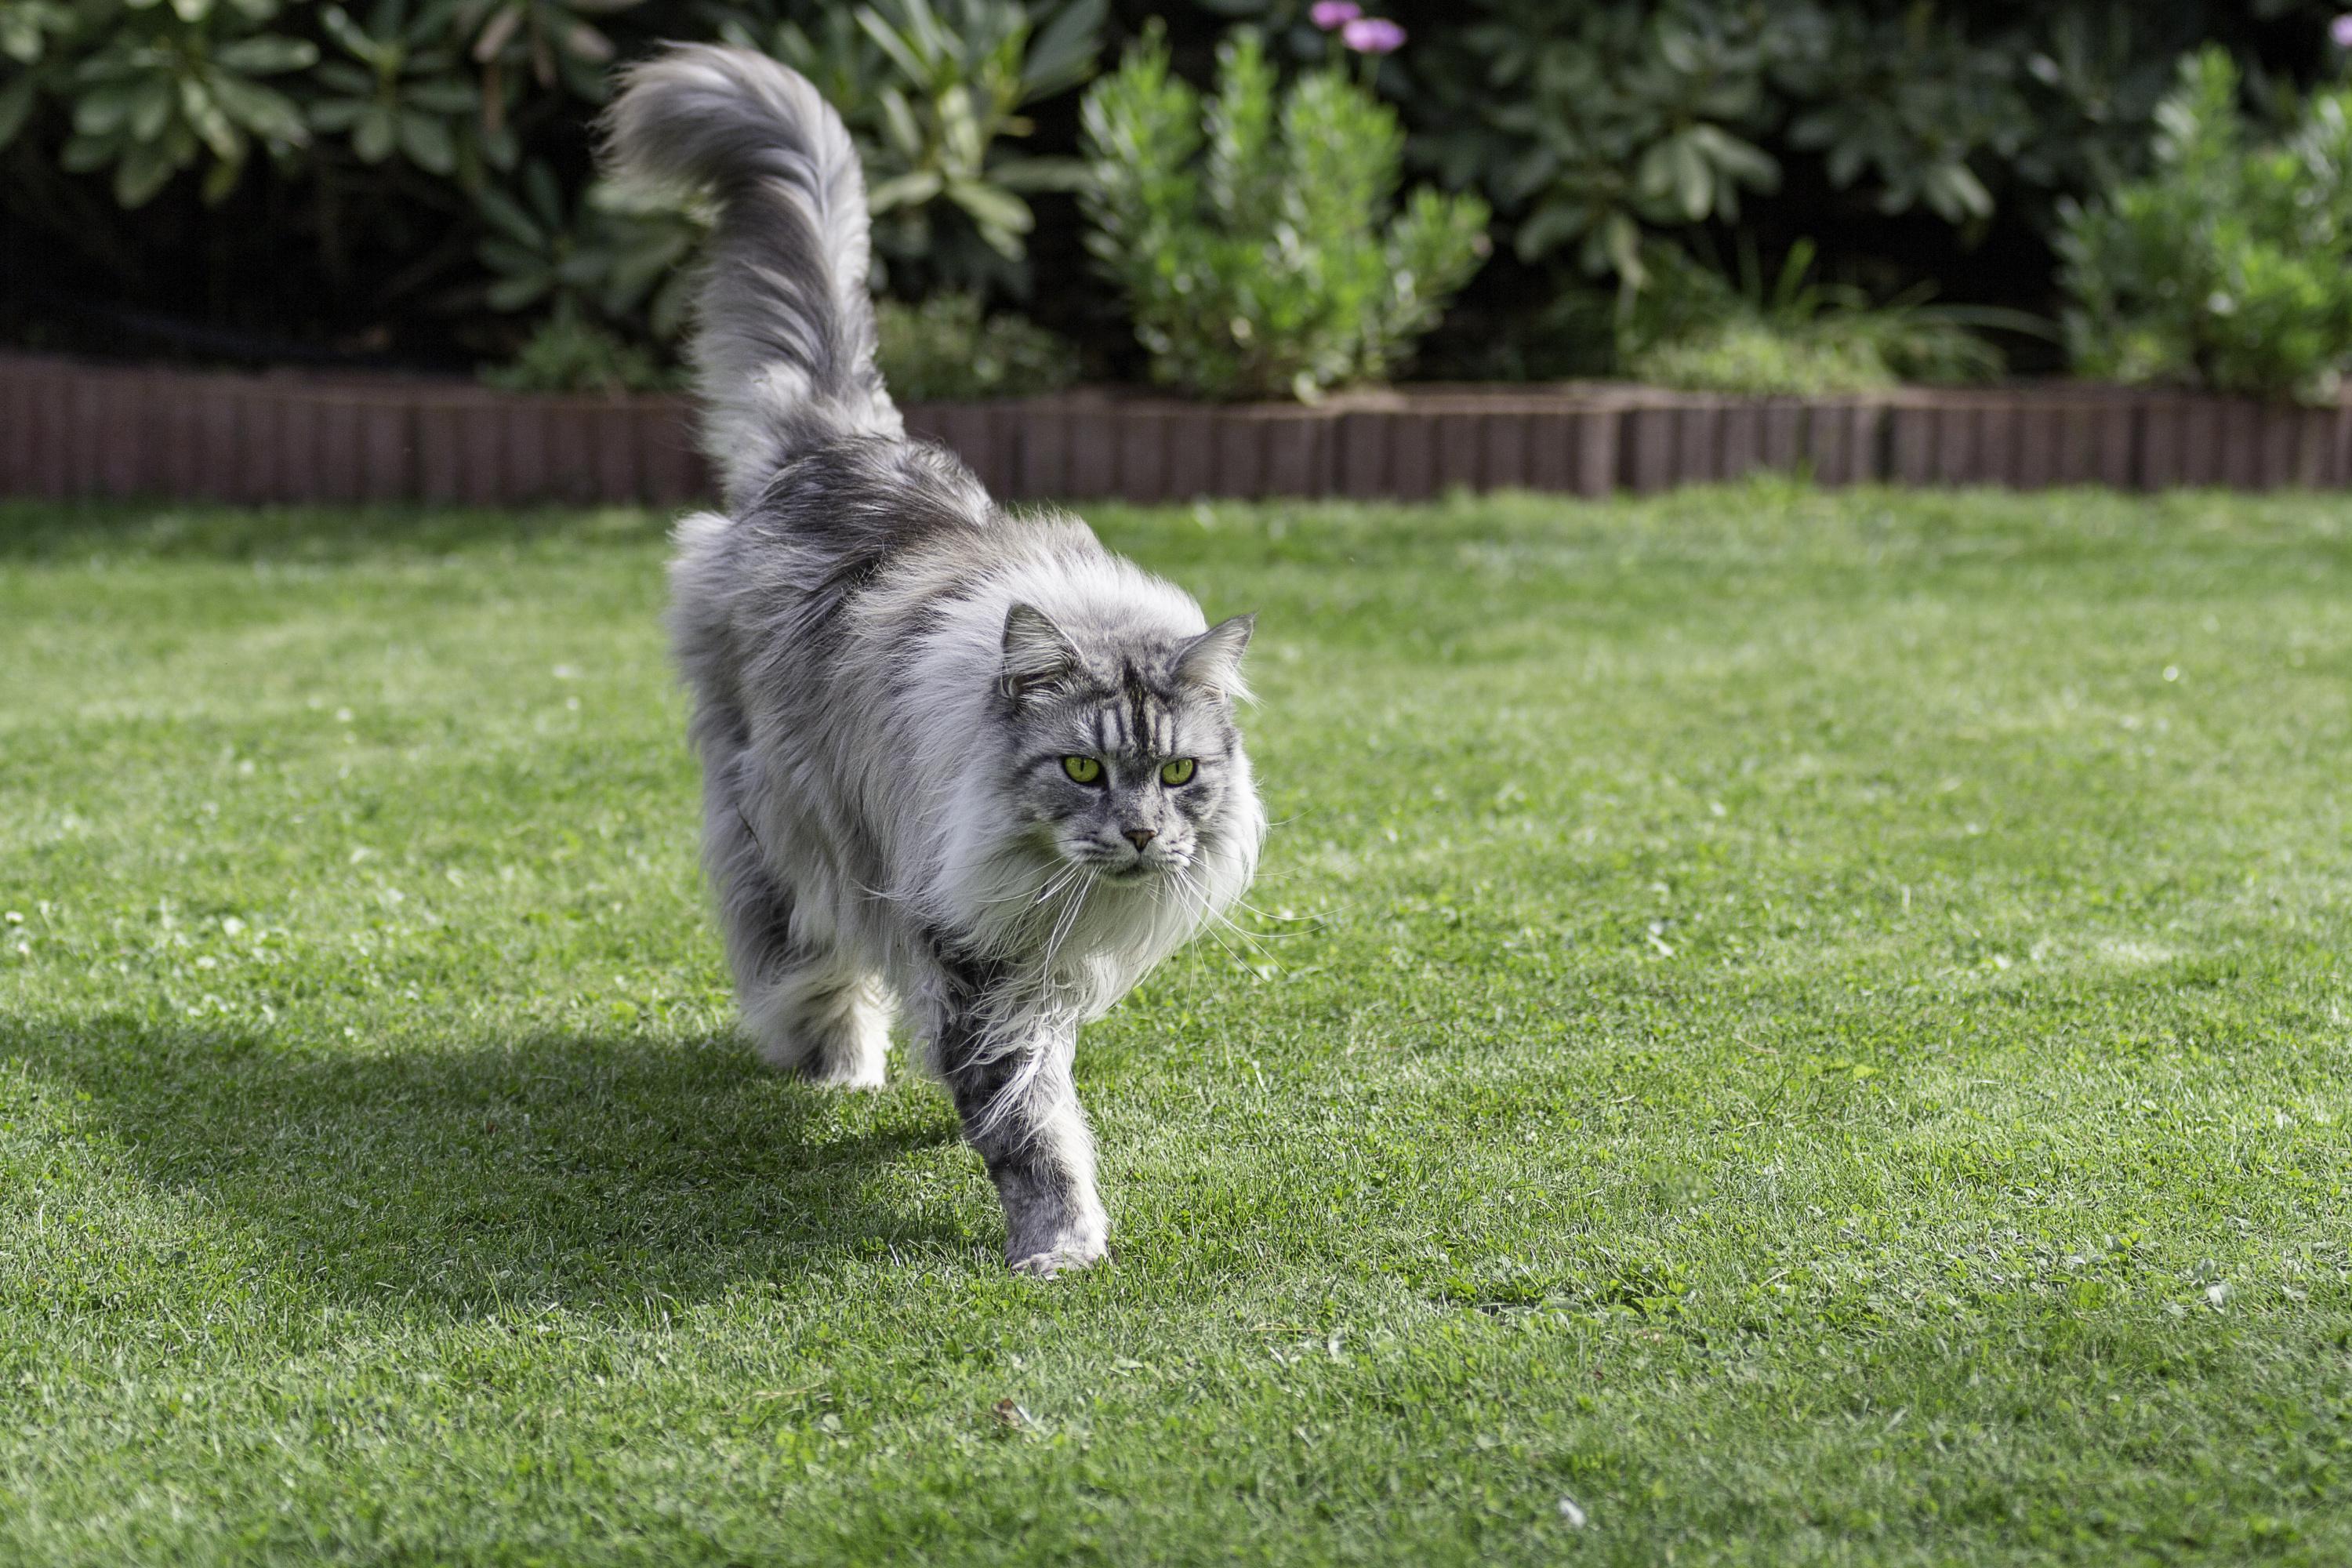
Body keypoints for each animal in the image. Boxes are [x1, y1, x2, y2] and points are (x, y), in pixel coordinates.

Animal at [607, 45, 1270, 1279]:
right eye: (1081, 770)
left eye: (1179, 774)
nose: (1141, 836)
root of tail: (841, 443)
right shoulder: (967, 946)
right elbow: (1027, 1114)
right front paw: (1060, 1242)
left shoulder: (1039, 961)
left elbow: (1038, 1073)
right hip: (777, 818)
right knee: (796, 952)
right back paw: (831, 1054)